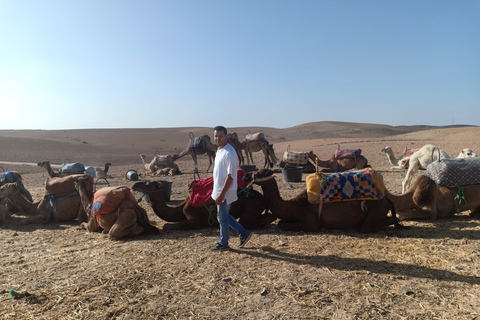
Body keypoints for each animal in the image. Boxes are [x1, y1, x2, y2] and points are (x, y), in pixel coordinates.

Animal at [131, 180, 276, 230]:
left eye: (148, 183)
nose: (134, 185)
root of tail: (262, 197)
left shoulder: (190, 211)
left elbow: (167, 226)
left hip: (253, 205)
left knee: (245, 221)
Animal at [244, 168, 402, 232]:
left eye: (259, 172)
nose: (245, 176)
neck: (294, 205)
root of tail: (385, 199)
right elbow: (281, 222)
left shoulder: (311, 223)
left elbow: (283, 225)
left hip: (375, 210)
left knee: (368, 226)